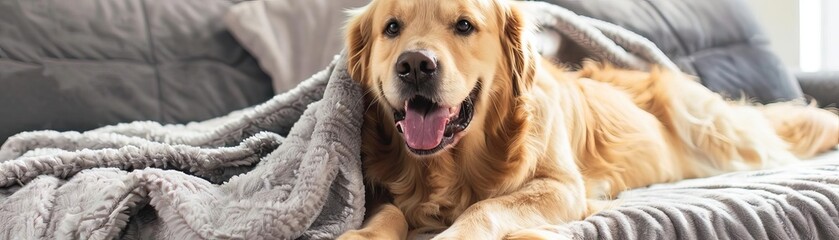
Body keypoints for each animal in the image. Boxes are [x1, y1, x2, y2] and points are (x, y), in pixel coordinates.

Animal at [338, 0, 839, 238]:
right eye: (391, 28)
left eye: (464, 25)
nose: (415, 65)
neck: (449, 164)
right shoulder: (382, 188)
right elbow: (385, 212)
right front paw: (363, 235)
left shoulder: (562, 187)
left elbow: (487, 207)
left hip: (716, 130)